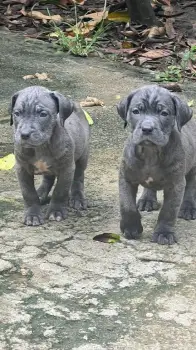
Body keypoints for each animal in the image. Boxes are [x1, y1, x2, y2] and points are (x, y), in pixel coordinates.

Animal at [10, 86, 90, 226]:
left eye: (42, 114)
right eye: (17, 113)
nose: (24, 134)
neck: (41, 146)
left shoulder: (66, 169)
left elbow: (60, 191)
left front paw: (56, 211)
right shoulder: (22, 169)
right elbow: (28, 193)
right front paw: (33, 214)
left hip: (83, 155)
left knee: (78, 177)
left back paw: (78, 198)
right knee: (48, 179)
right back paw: (41, 193)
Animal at [117, 85, 195, 245]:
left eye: (164, 113)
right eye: (136, 111)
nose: (147, 128)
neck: (150, 153)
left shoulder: (176, 185)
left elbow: (168, 211)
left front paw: (164, 233)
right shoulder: (125, 178)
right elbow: (126, 205)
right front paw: (131, 227)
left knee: (191, 185)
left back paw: (188, 207)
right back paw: (147, 199)